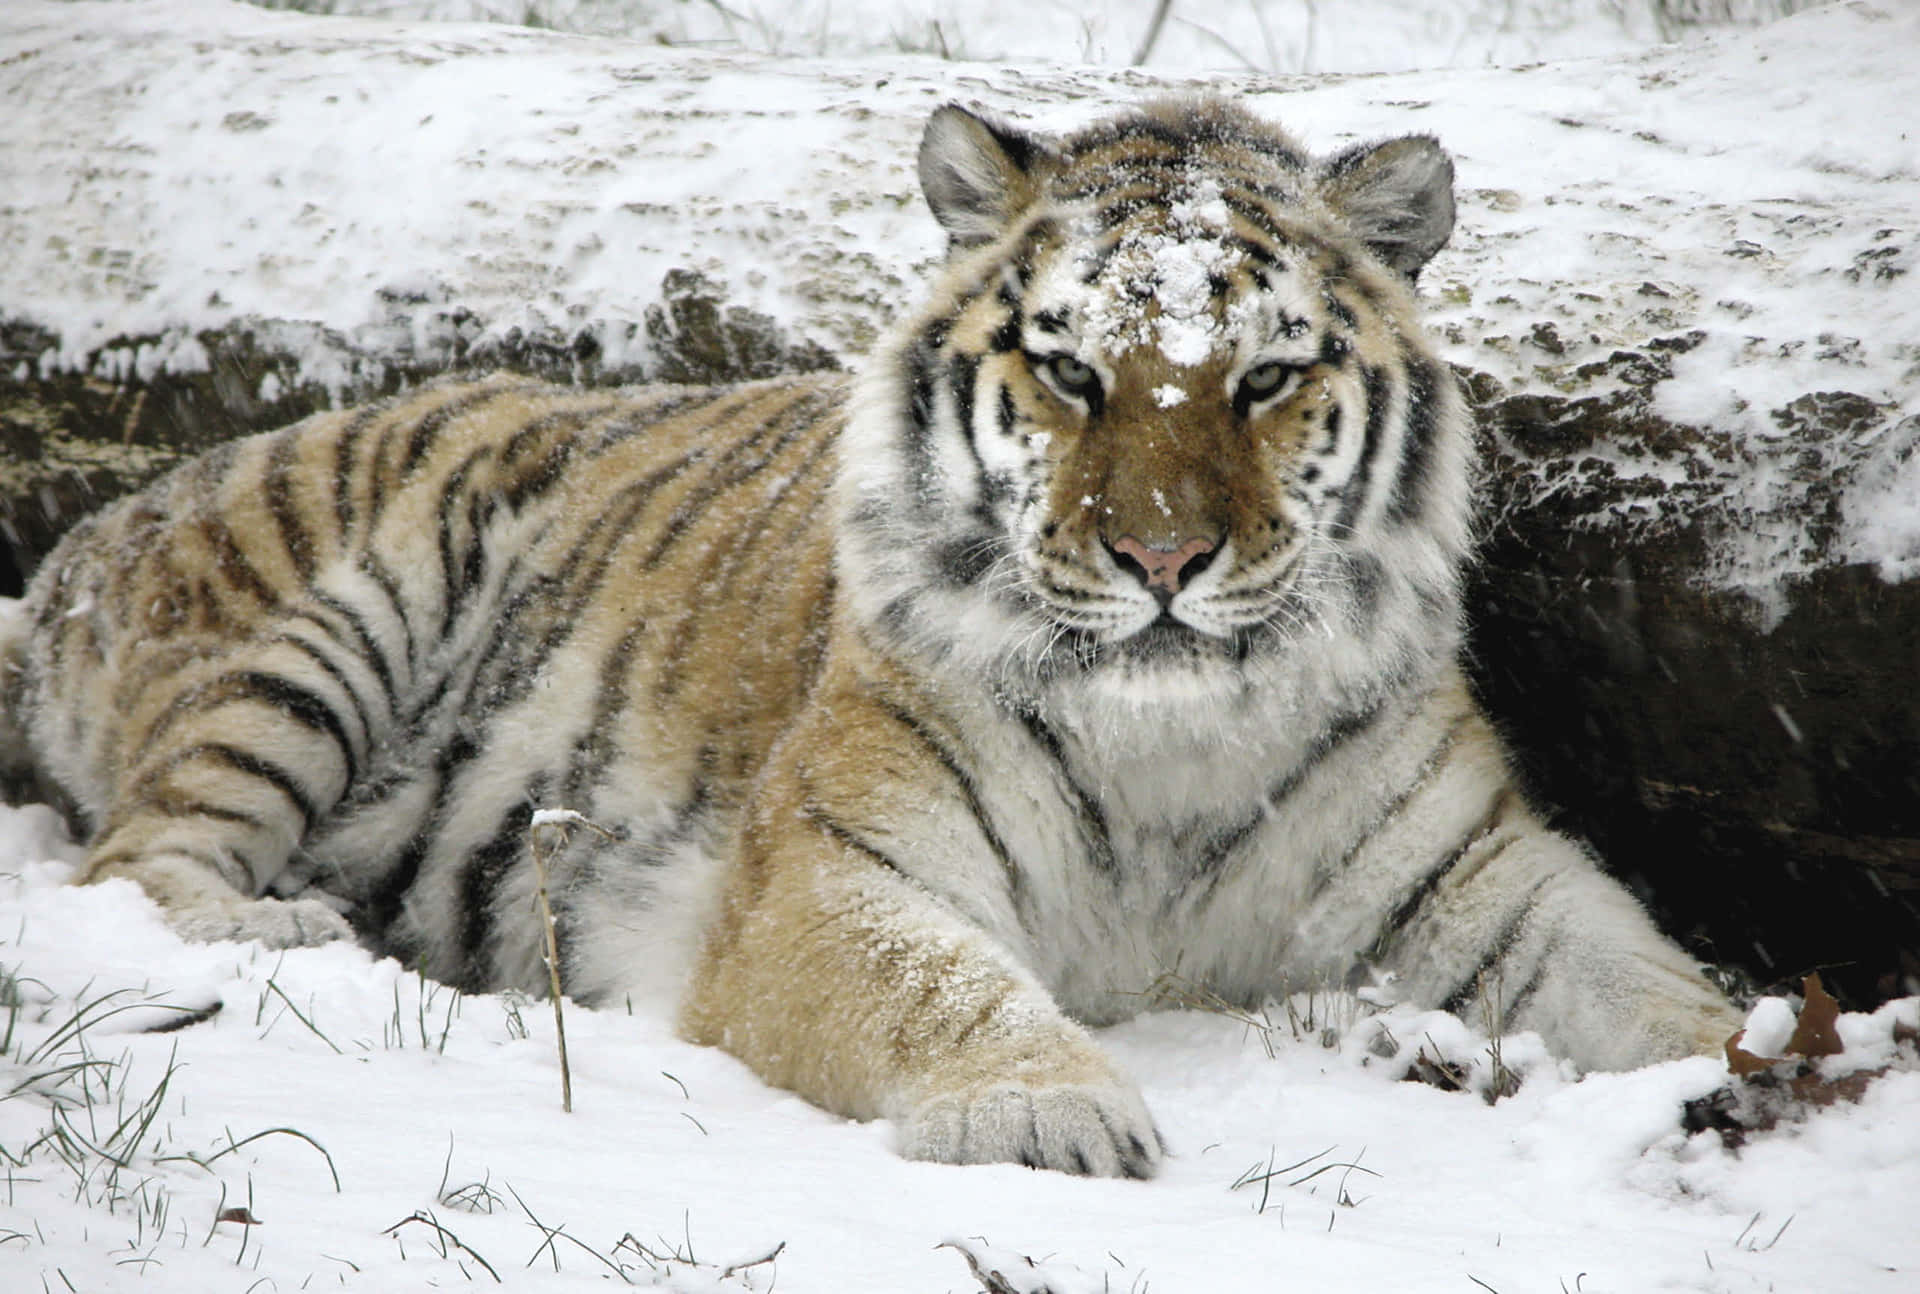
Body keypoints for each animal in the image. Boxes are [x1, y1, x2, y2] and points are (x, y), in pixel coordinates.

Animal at [2, 98, 1740, 1178]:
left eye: (1261, 378)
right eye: (1072, 372)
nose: (1162, 554)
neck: (1173, 736)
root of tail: (96, 529)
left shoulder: (1479, 884)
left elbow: (1647, 980)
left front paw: (1753, 1075)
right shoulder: (833, 868)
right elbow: (941, 983)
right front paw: (1049, 1112)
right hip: (341, 622)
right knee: (133, 862)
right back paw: (286, 931)